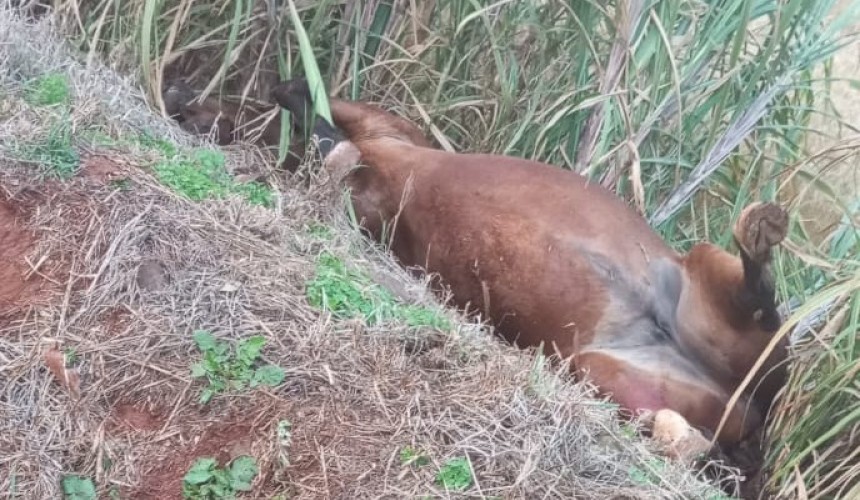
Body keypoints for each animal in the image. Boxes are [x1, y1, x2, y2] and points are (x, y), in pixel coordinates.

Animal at [272, 79, 788, 458]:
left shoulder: (386, 135)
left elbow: (324, 125)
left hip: (703, 278)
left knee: (760, 308)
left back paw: (760, 232)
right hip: (606, 371)